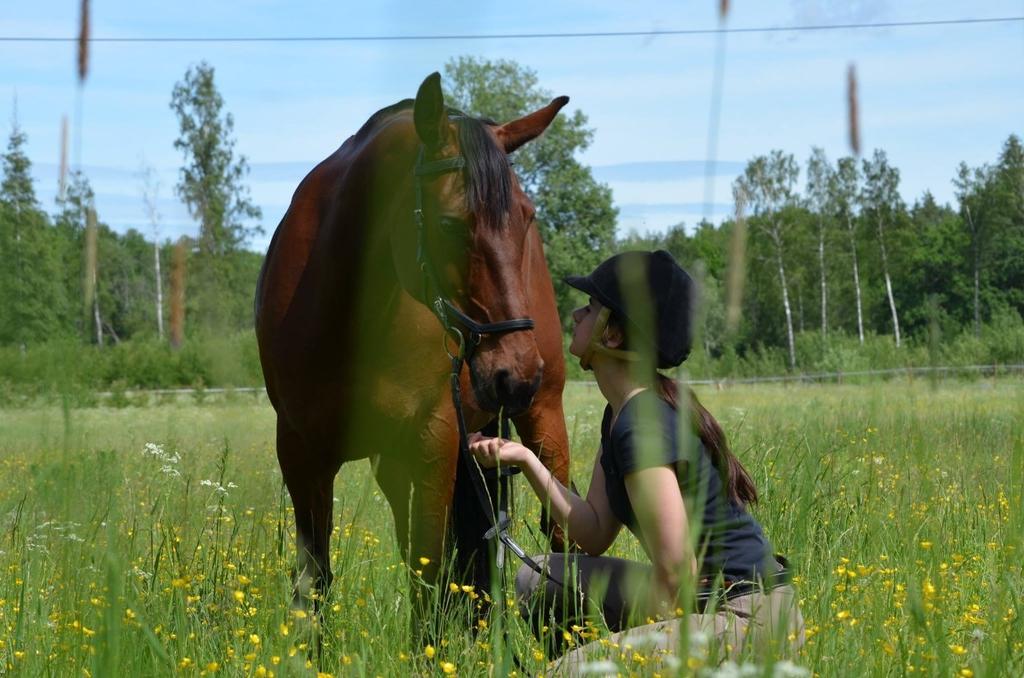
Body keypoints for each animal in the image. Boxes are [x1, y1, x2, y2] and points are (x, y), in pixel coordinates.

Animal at [254, 71, 573, 618]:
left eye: (527, 216)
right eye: (448, 223)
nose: (515, 373)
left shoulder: (431, 442)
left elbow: (428, 584)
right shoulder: (300, 453)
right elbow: (314, 584)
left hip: (541, 415)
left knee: (562, 533)